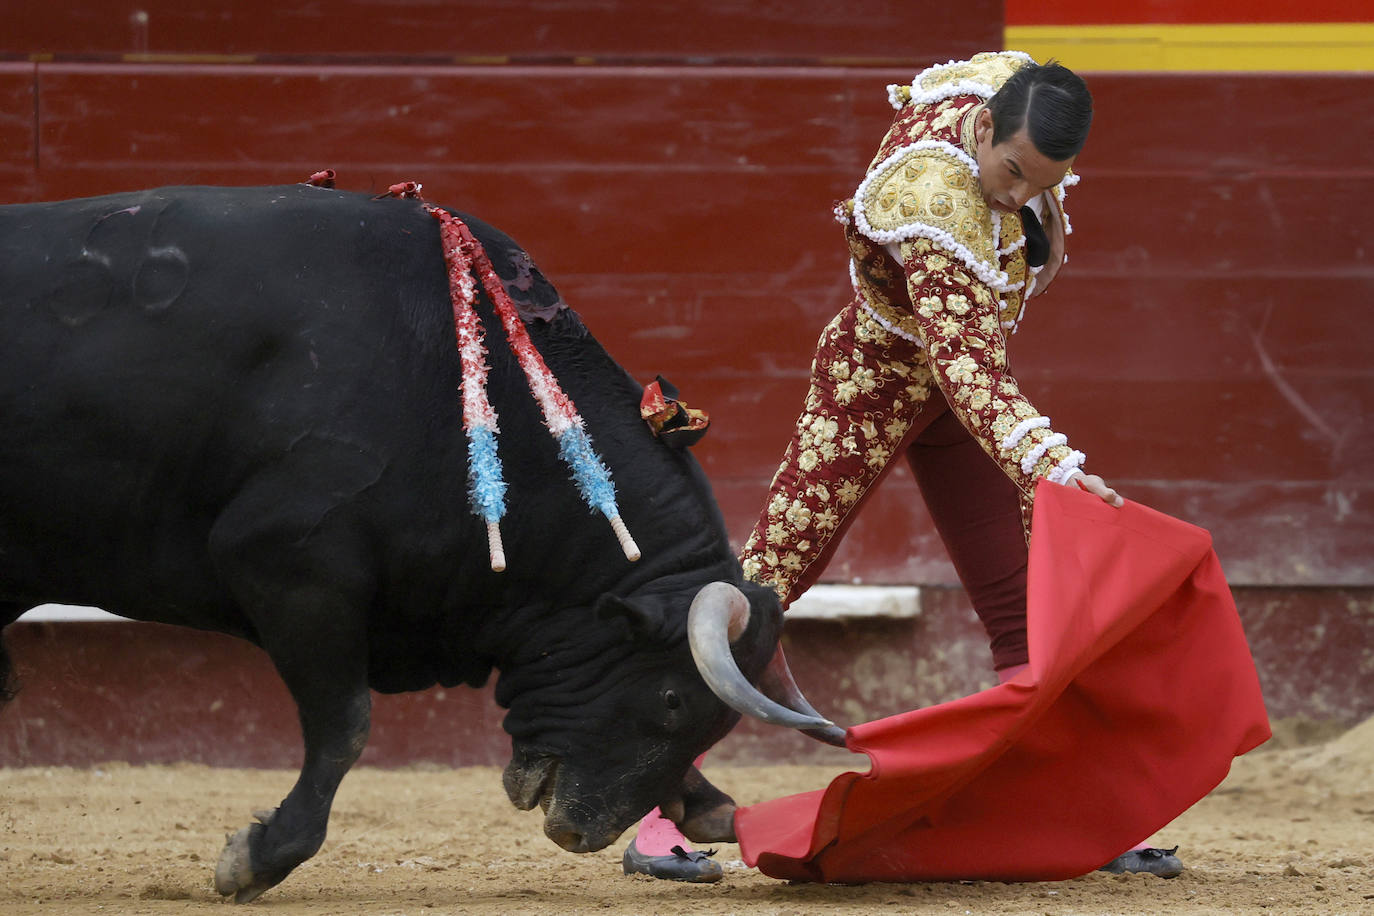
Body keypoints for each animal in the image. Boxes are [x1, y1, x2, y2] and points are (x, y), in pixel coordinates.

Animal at [0, 186, 835, 900]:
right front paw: (255, 858)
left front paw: (708, 805)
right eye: (668, 700)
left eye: (713, 722)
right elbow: (345, 726)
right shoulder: (291, 567)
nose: (580, 833)